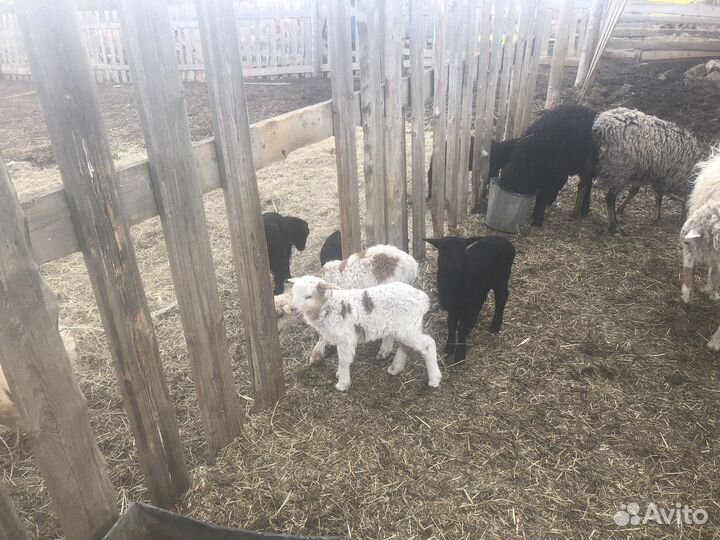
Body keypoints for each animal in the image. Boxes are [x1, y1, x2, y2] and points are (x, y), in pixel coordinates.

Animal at [288, 275, 441, 391]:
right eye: (293, 293)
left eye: (308, 296)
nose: (292, 308)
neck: (329, 306)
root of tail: (422, 298)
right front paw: (339, 374)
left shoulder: (345, 338)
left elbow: (343, 360)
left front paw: (342, 383)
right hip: (405, 327)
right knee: (406, 346)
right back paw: (395, 368)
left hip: (407, 327)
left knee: (428, 344)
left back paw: (434, 379)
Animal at [425, 235, 515, 365]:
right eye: (442, 249)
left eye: (462, 250)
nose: (455, 265)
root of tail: (503, 239)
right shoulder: (453, 308)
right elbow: (451, 324)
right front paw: (449, 347)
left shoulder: (471, 305)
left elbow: (462, 328)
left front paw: (460, 356)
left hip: (502, 276)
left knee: (502, 297)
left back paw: (495, 326)